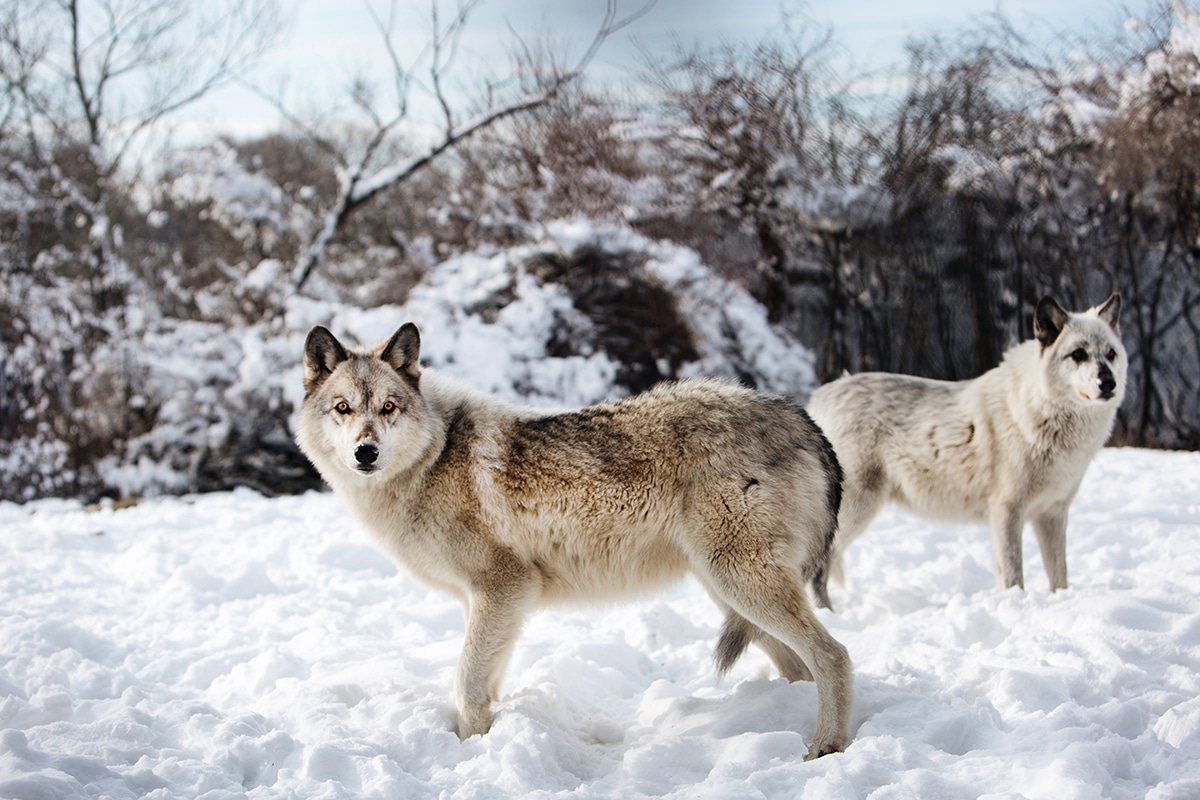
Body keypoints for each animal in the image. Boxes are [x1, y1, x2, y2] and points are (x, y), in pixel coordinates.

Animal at [291, 323, 854, 758]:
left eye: (389, 407)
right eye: (343, 408)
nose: (365, 453)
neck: (434, 456)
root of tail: (801, 418)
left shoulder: (505, 587)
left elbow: (466, 683)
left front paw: (471, 752)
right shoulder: (495, 603)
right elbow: (486, 682)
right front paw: (481, 745)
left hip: (741, 584)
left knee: (834, 655)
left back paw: (824, 747)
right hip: (730, 594)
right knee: (799, 667)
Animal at [806, 293, 1123, 606]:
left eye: (1111, 354)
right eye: (1078, 354)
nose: (1108, 383)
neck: (1038, 414)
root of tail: (817, 399)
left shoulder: (1053, 513)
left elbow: (1059, 575)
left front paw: (1062, 600)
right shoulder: (1007, 511)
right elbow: (1013, 575)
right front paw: (1015, 604)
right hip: (857, 508)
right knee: (817, 569)